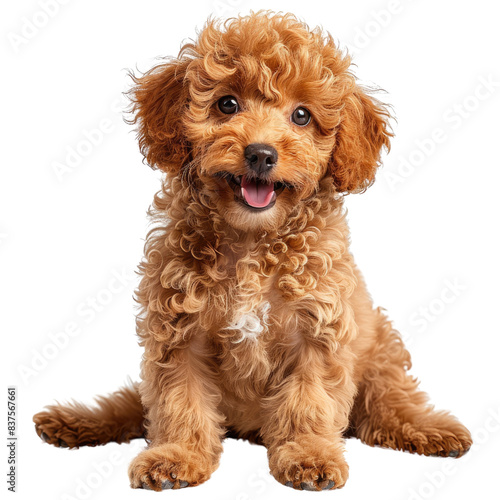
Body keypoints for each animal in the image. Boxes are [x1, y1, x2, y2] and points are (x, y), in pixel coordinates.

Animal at [32, 12, 472, 492]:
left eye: (302, 115)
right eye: (227, 104)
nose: (261, 154)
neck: (251, 242)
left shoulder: (318, 330)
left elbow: (309, 402)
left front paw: (309, 456)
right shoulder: (177, 331)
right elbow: (178, 402)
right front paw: (177, 456)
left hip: (380, 350)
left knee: (388, 403)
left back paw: (432, 430)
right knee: (132, 404)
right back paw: (75, 422)